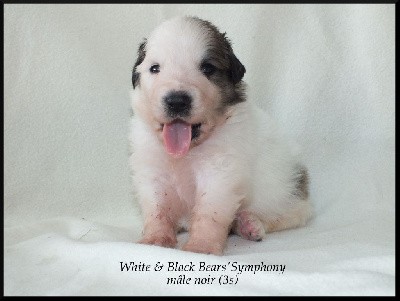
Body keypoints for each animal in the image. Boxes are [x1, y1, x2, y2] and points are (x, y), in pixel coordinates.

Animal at [130, 16, 314, 254]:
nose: (177, 101)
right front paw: (155, 239)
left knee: (290, 215)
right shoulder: (153, 171)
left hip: (286, 191)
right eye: (155, 68)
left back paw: (249, 224)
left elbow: (209, 212)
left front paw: (201, 246)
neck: (187, 153)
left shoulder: (219, 173)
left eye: (207, 68)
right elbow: (157, 208)